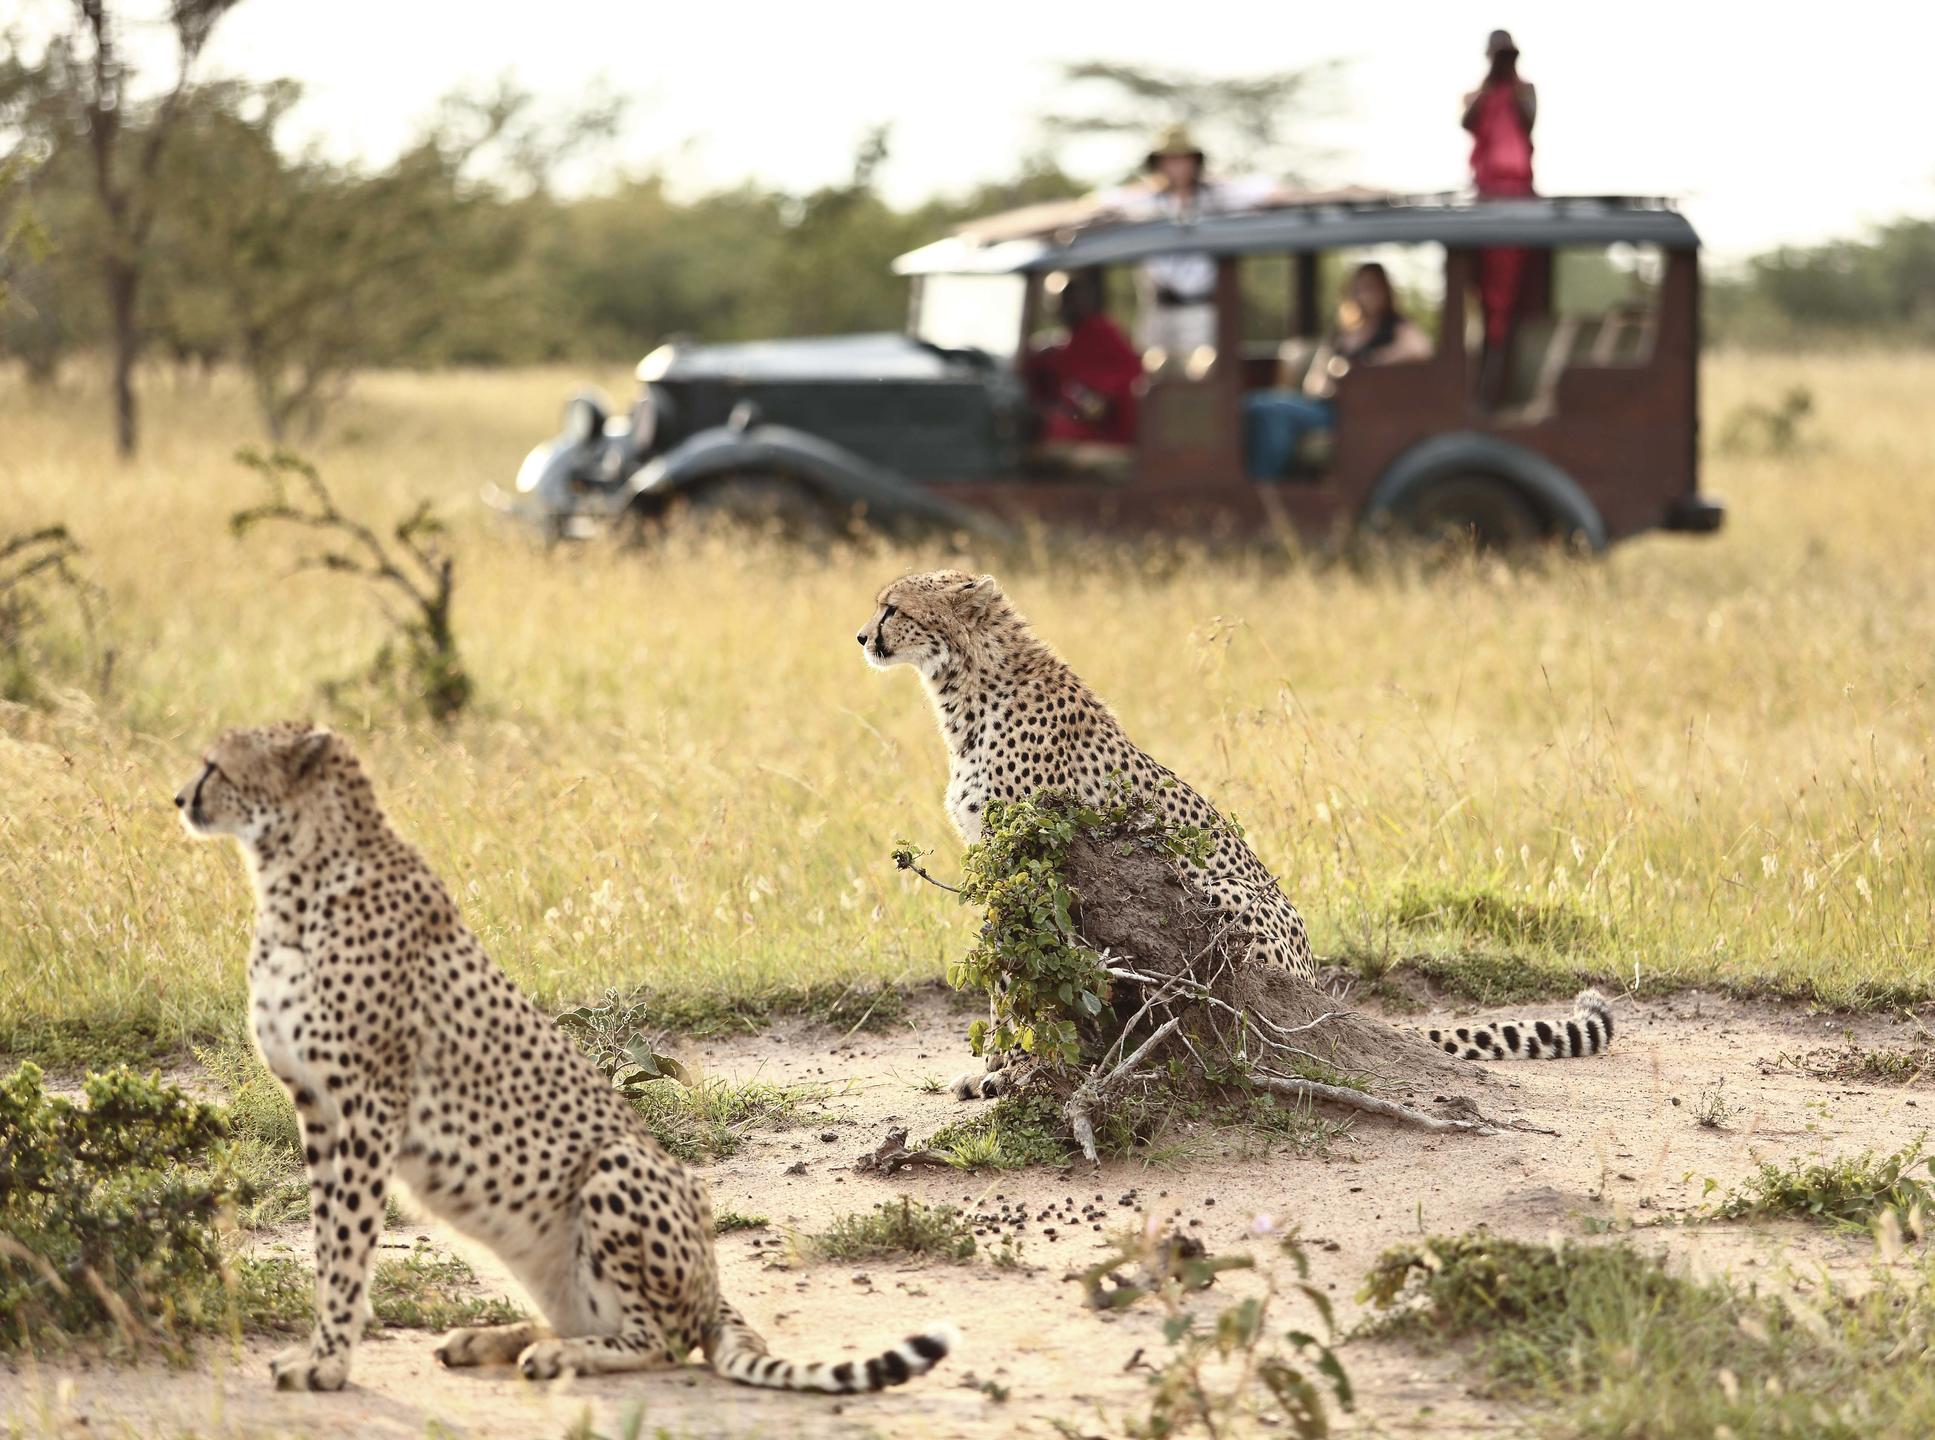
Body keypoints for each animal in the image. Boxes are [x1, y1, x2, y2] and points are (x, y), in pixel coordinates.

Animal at [174, 723, 952, 1385]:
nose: (179, 798)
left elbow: (346, 1244)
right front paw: (325, 1352)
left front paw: (329, 1364)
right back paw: (493, 1339)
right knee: (584, 1314)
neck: (294, 874)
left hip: (619, 1166)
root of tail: (713, 1285)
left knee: (663, 1341)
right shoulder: (317, 1107)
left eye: (216, 765)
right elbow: (325, 1239)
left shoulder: (368, 1102)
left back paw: (560, 1357)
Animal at [855, 569, 1609, 1099]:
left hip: (1215, 890)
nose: (862, 637)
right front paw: (993, 1064)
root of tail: (1317, 984)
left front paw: (1006, 1067)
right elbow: (1004, 974)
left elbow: (1016, 978)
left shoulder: (1030, 860)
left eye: (894, 608)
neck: (966, 689)